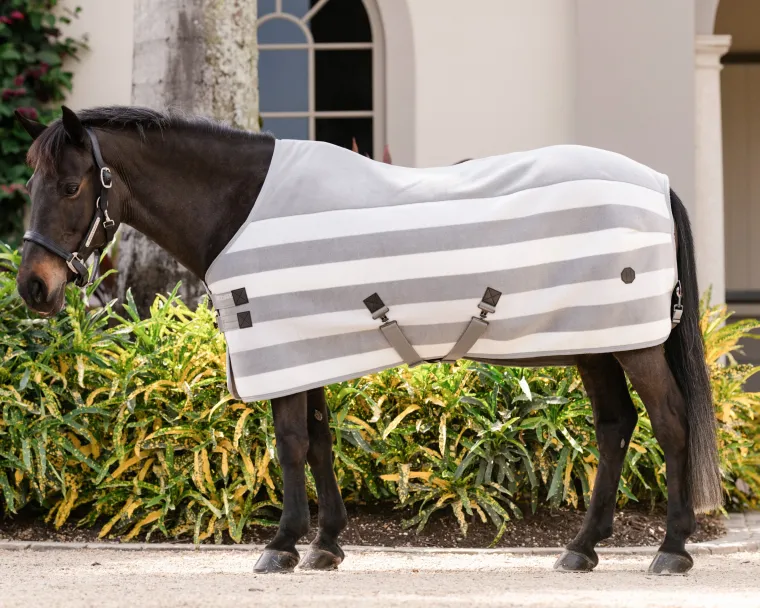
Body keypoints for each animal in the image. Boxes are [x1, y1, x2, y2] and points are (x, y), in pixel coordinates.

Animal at [14, 106, 721, 575]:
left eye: (71, 187)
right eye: (31, 185)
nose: (33, 287)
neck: (240, 208)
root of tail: (658, 183)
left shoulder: (283, 346)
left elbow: (291, 443)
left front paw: (282, 545)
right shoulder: (310, 350)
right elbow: (319, 441)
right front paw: (325, 544)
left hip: (631, 343)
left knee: (670, 421)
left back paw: (671, 550)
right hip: (597, 340)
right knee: (616, 425)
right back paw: (582, 548)